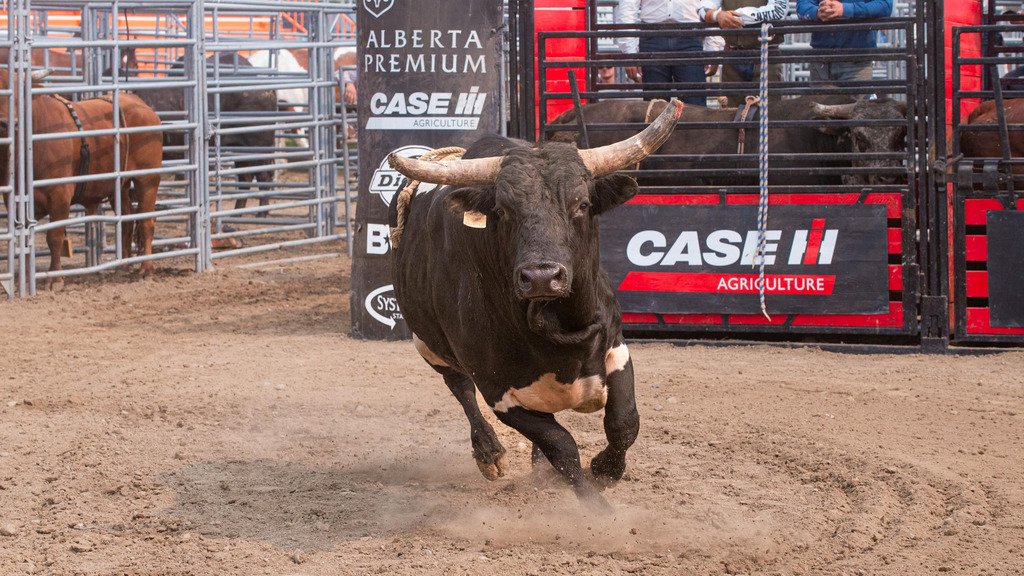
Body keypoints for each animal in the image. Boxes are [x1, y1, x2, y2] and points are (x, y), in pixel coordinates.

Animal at [0, 70, 163, 290]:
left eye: (20, 92)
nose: (7, 123)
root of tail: (144, 107)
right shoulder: (15, 201)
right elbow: (24, 240)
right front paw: (25, 280)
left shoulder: (60, 196)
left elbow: (55, 237)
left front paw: (55, 279)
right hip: (119, 187)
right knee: (127, 221)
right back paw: (122, 267)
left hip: (147, 179)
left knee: (147, 222)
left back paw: (146, 269)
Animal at [386, 99, 684, 512]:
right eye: (502, 209)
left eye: (582, 204)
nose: (542, 276)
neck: (556, 327)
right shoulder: (498, 390)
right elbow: (561, 445)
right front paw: (598, 509)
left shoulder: (616, 349)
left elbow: (624, 423)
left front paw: (605, 469)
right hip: (426, 342)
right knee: (459, 387)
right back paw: (489, 453)